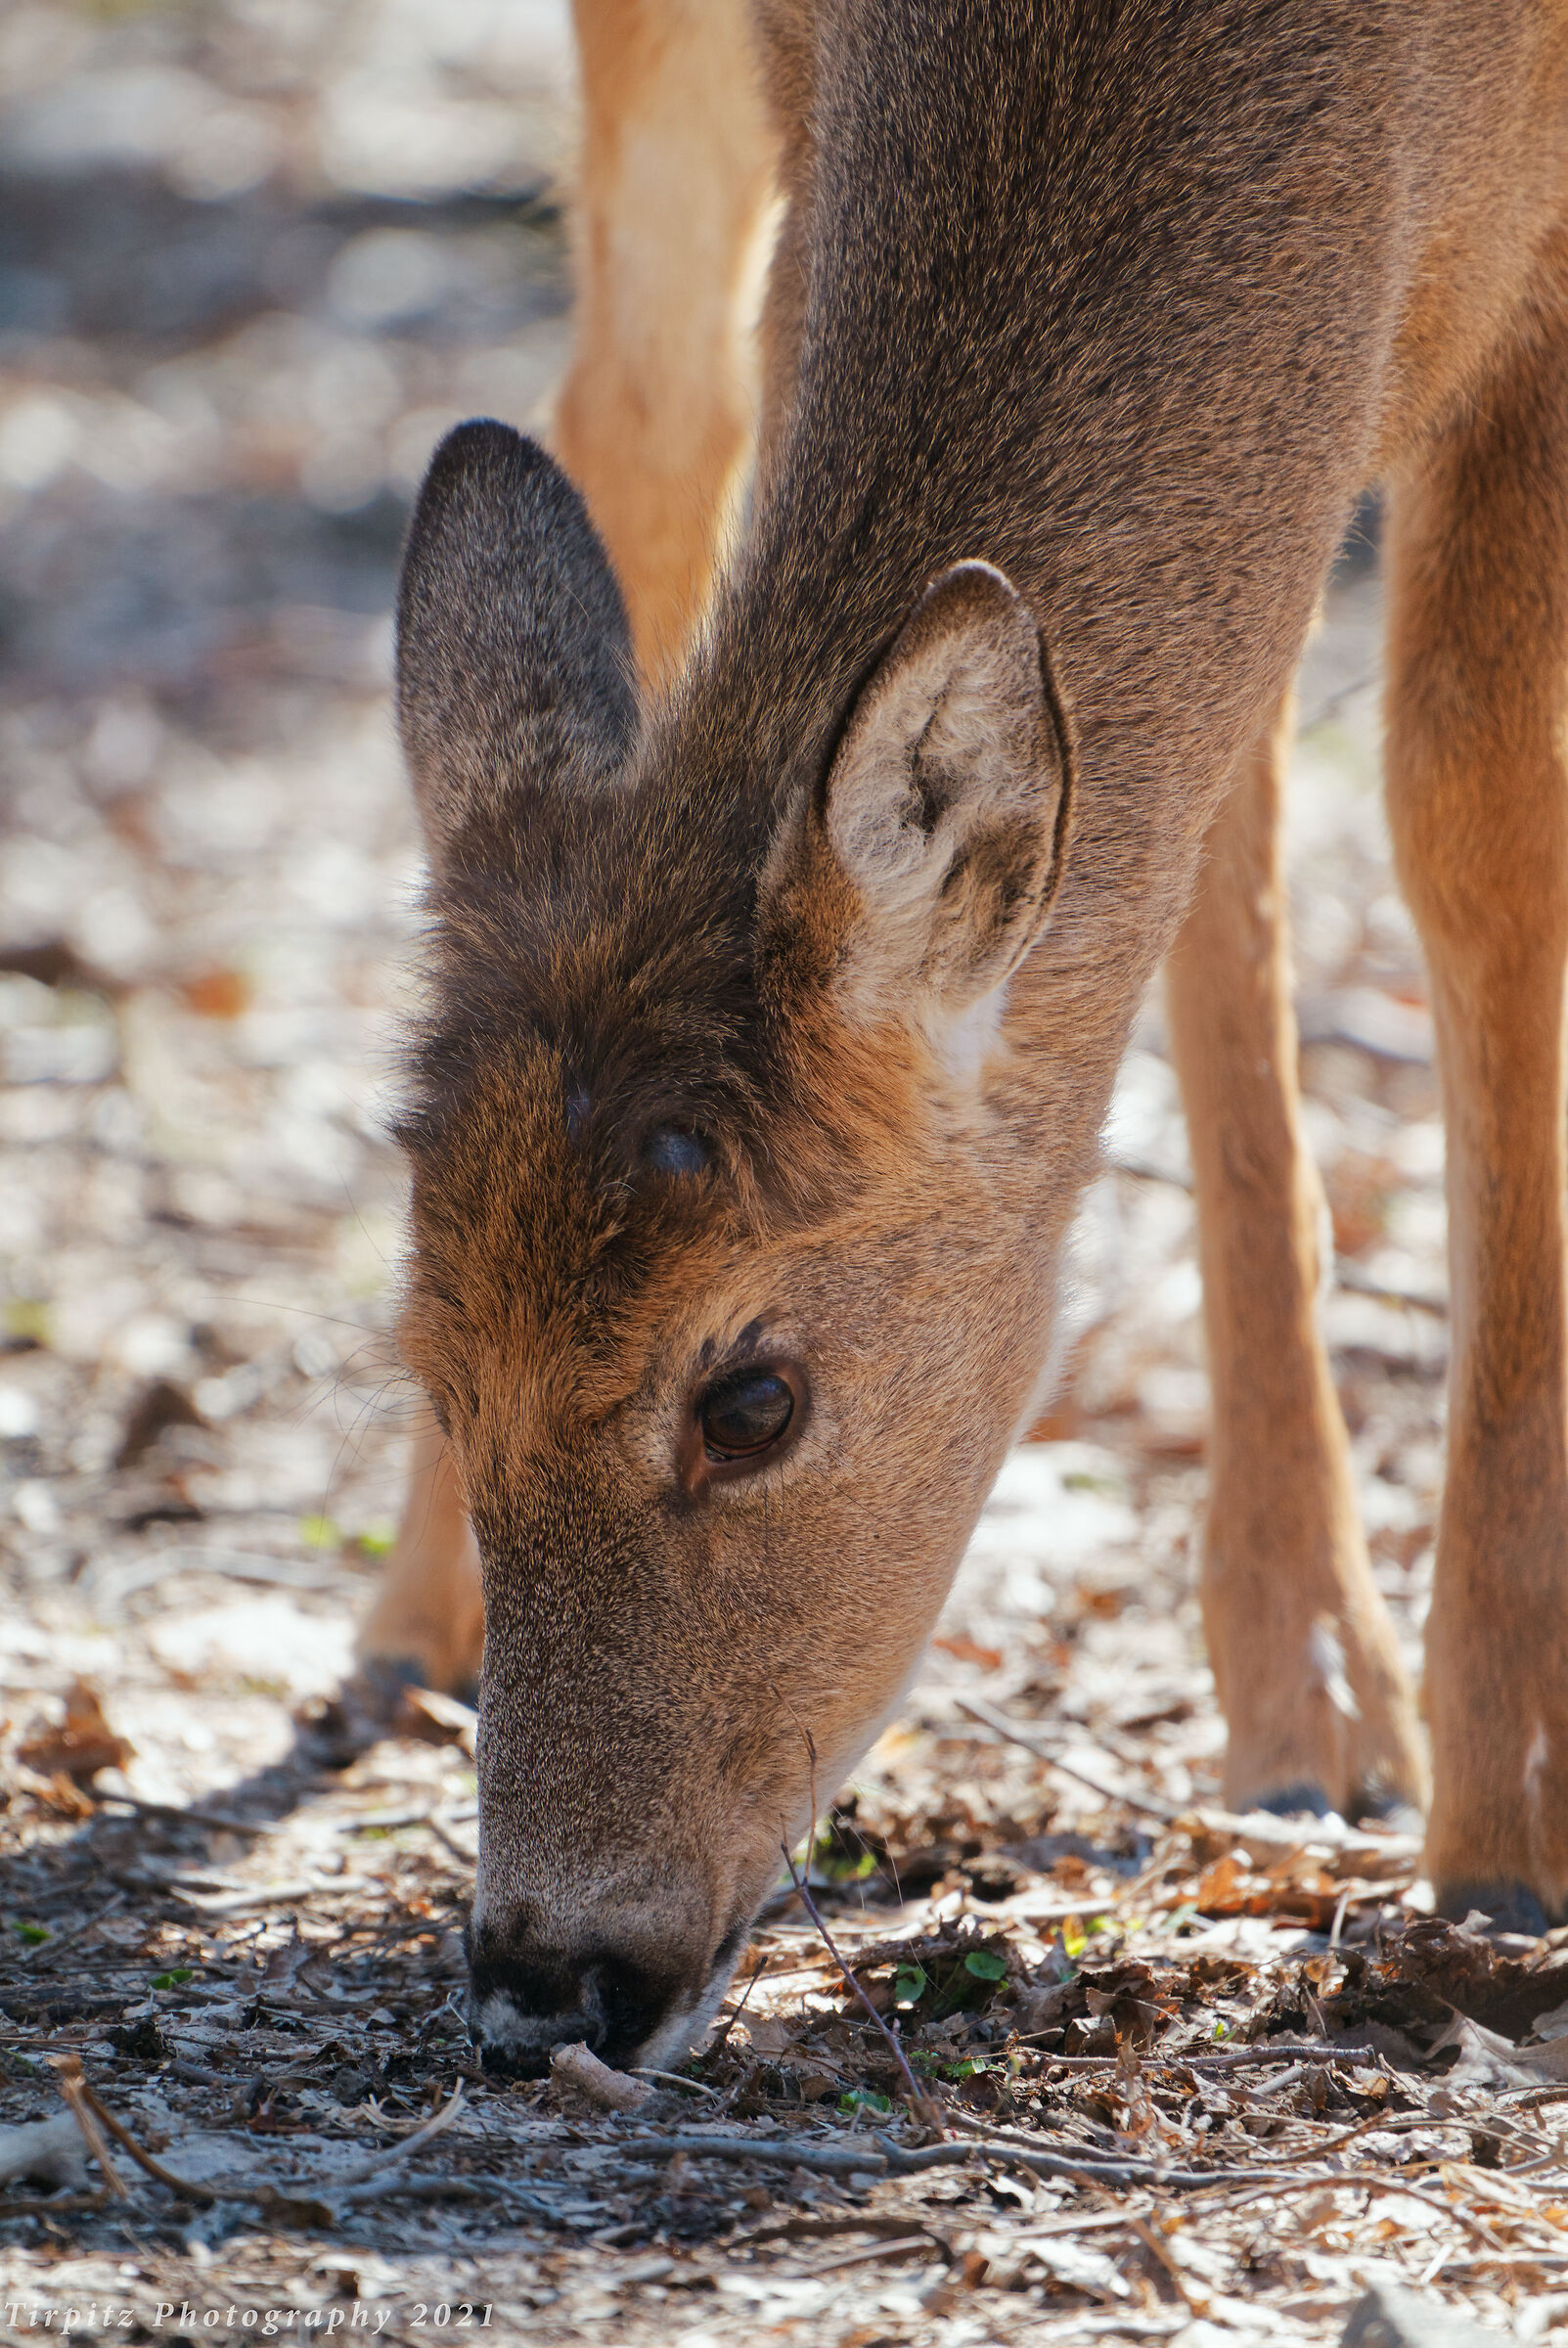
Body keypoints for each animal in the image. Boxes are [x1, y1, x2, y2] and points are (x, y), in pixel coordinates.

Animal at [360, 0, 1568, 2074]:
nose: (547, 1975)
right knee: (641, 427)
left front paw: (1507, 1821)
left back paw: (1312, 1701)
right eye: (430, 1361)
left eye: (751, 1400)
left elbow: (1472, 805)